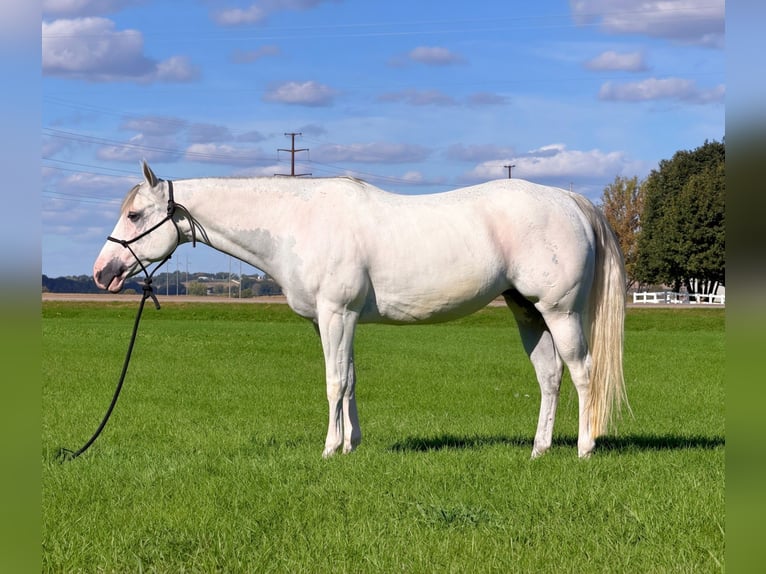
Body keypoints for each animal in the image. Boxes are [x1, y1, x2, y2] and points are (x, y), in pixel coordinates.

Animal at [94, 161, 627, 459]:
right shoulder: (333, 320)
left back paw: (584, 449)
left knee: (582, 372)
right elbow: (348, 379)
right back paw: (538, 451)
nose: (102, 272)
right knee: (549, 377)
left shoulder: (337, 313)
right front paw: (351, 445)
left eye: (135, 214)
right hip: (527, 313)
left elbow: (334, 381)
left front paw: (330, 449)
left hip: (560, 312)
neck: (298, 222)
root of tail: (570, 200)